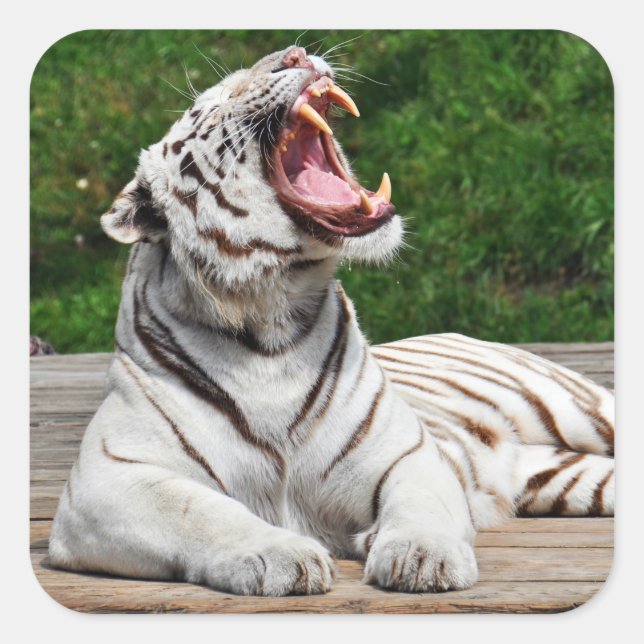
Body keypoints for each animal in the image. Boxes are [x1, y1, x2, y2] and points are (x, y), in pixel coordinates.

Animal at [48, 45, 614, 596]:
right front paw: (280, 557)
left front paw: (423, 557)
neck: (269, 321)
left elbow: (421, 504)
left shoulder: (407, 453)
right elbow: (202, 511)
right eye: (208, 104)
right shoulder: (107, 478)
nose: (296, 54)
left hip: (579, 409)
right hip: (565, 477)